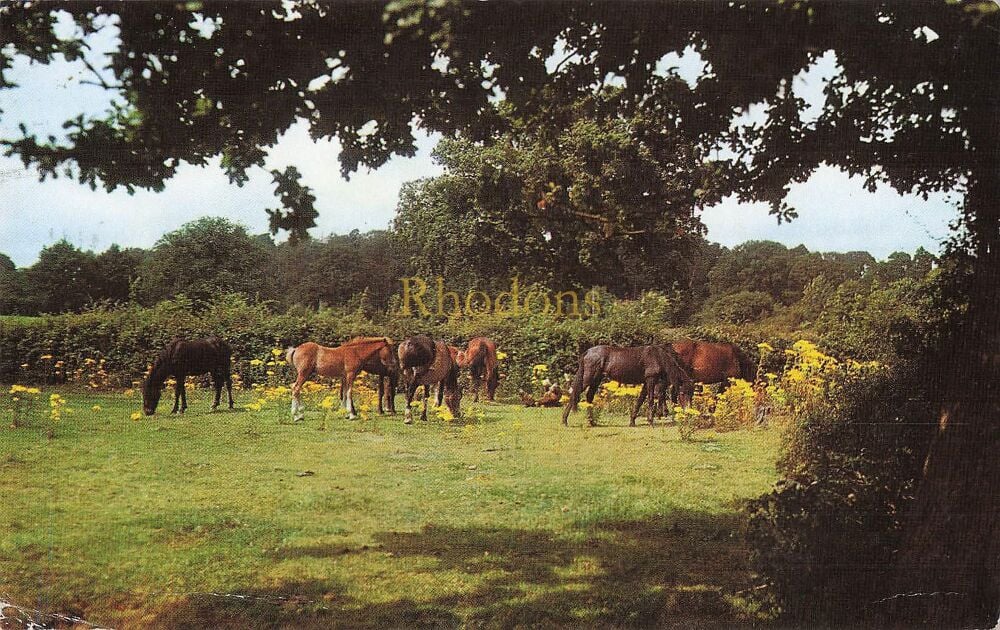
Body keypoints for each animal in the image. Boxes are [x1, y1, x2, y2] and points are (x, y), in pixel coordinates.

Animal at [564, 346, 696, 430]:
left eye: (691, 394)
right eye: (682, 393)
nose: (688, 413)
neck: (658, 357)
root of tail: (588, 352)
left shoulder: (646, 383)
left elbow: (640, 401)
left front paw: (632, 421)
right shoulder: (651, 380)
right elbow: (650, 400)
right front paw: (650, 422)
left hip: (596, 379)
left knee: (589, 396)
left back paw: (591, 422)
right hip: (588, 378)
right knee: (575, 394)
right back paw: (565, 420)